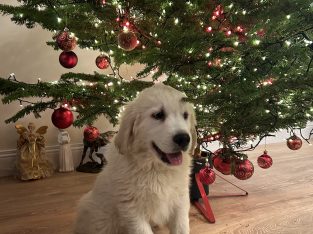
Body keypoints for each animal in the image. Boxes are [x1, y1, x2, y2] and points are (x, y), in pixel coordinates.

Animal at [73, 83, 195, 233]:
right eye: (158, 115)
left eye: (185, 115)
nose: (184, 138)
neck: (156, 168)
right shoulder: (132, 210)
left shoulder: (180, 201)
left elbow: (181, 227)